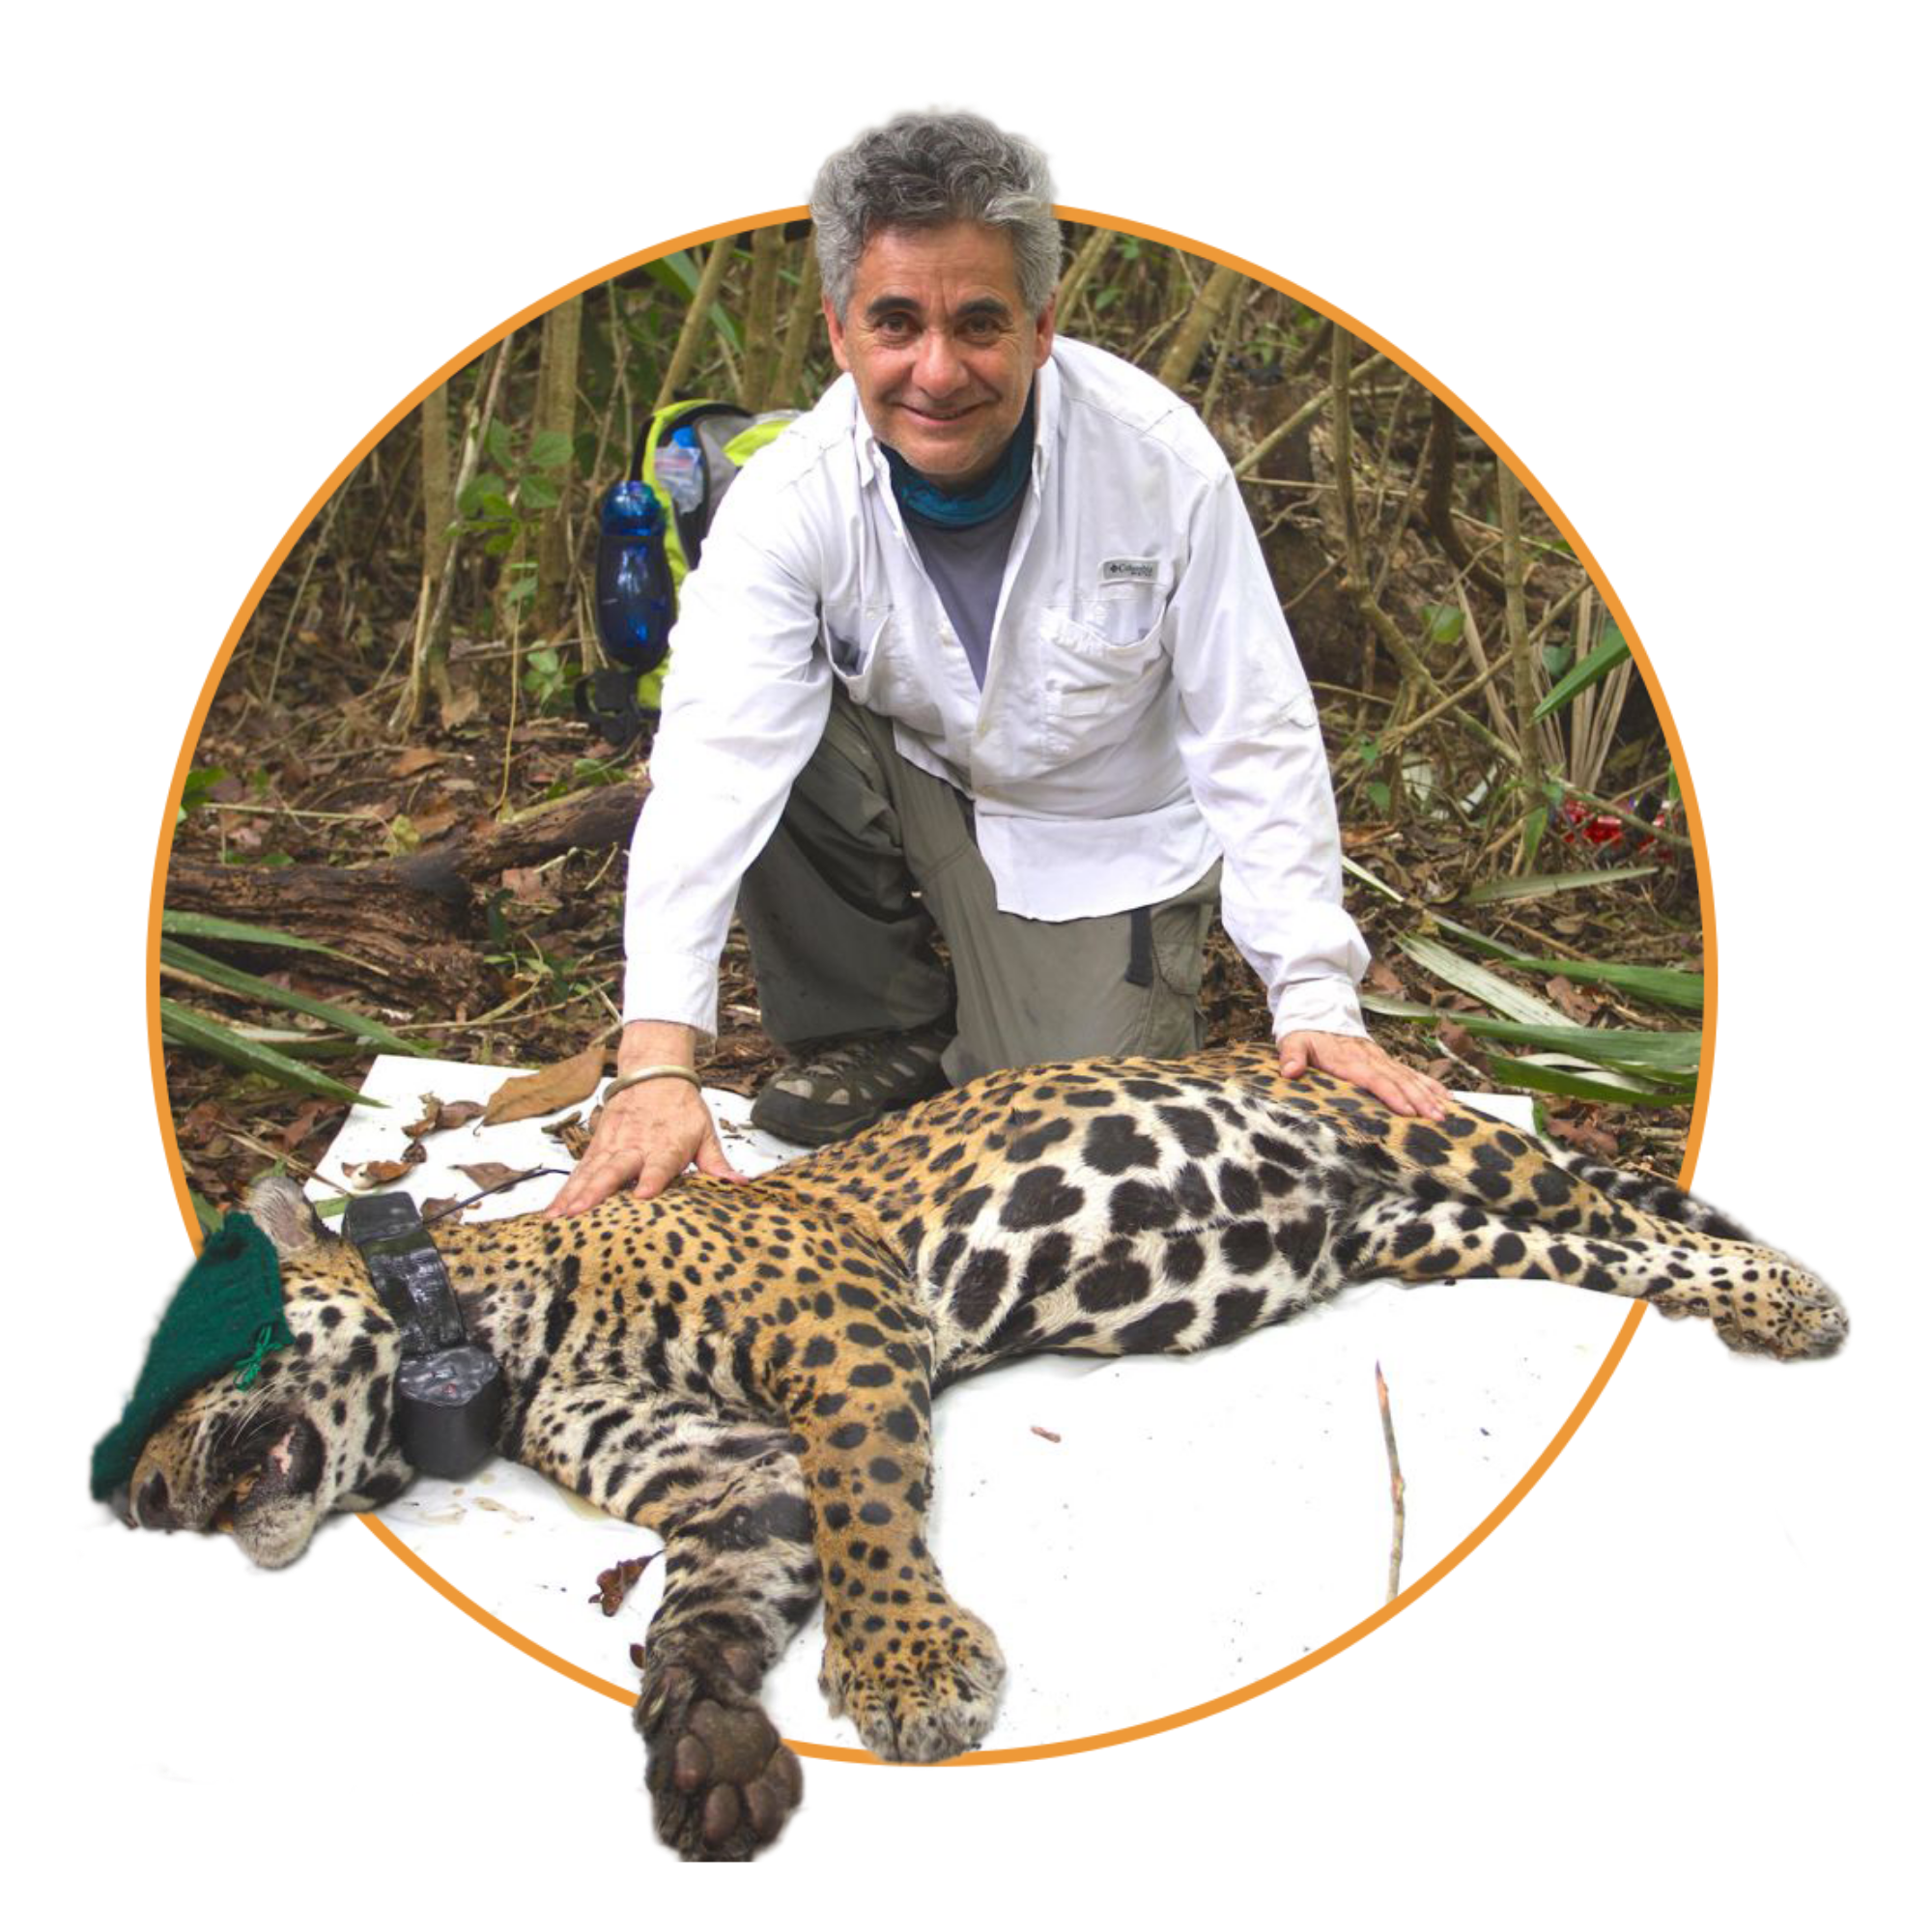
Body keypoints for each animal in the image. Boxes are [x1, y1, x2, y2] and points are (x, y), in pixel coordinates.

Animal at [102, 1043, 1848, 1860]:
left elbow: (872, 1508)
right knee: (1600, 1248)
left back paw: (1797, 1298)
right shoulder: (727, 1476)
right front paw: (716, 1761)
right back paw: (1760, 1304)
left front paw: (906, 1672)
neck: (478, 1331)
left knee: (1617, 1199)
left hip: (1424, 1140)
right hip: (1416, 1229)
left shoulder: (840, 1330)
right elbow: (703, 1619)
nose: (118, 1503)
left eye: (174, 1363)